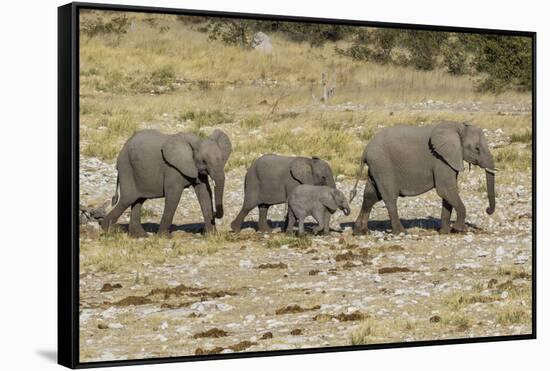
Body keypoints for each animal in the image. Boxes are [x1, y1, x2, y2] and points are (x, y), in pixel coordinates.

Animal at [102, 129, 233, 237]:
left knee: (138, 200)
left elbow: (204, 193)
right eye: (204, 161)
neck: (196, 140)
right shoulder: (172, 168)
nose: (215, 213)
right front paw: (164, 237)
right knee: (127, 199)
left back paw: (140, 236)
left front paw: (212, 235)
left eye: (222, 159)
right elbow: (174, 196)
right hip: (126, 168)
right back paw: (106, 230)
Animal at [352, 123, 498, 237]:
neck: (458, 127)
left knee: (370, 196)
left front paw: (444, 232)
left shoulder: (449, 160)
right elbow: (445, 190)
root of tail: (365, 152)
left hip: (376, 168)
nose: (487, 210)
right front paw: (459, 230)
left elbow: (448, 193)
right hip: (383, 166)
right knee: (389, 198)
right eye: (477, 149)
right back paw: (401, 233)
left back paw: (361, 232)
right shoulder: (440, 159)